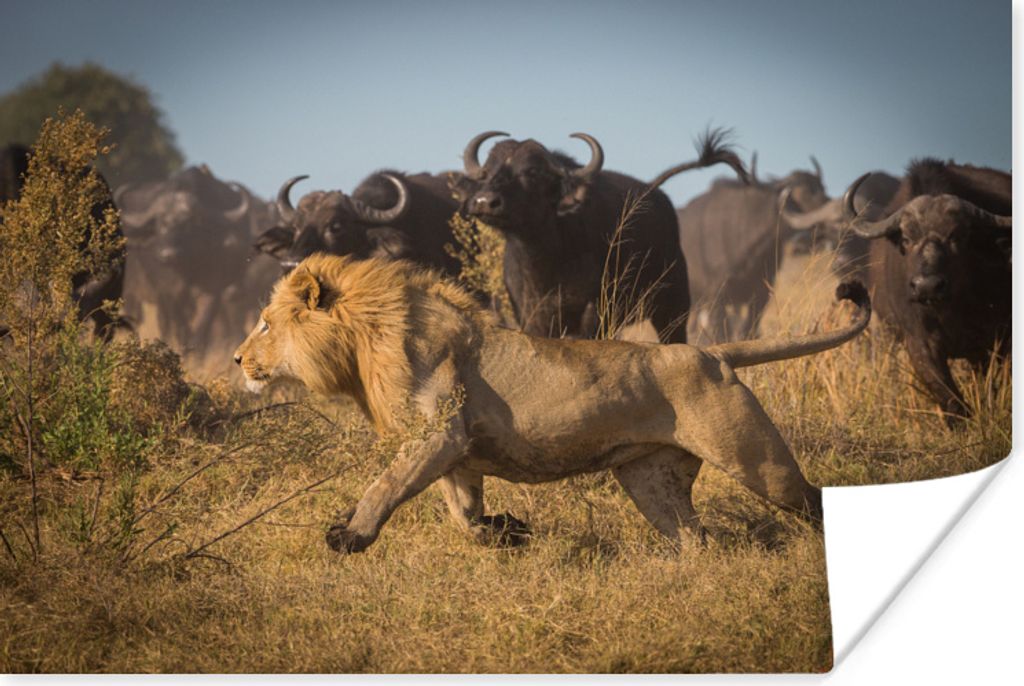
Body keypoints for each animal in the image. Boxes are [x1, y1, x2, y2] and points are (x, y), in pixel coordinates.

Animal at [234, 253, 870, 553]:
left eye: (264, 323)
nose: (237, 360)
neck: (366, 341)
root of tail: (711, 352)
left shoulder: (438, 437)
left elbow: (383, 487)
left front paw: (349, 536)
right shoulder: (455, 452)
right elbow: (462, 516)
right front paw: (507, 530)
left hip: (755, 458)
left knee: (810, 499)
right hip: (650, 480)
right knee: (696, 539)